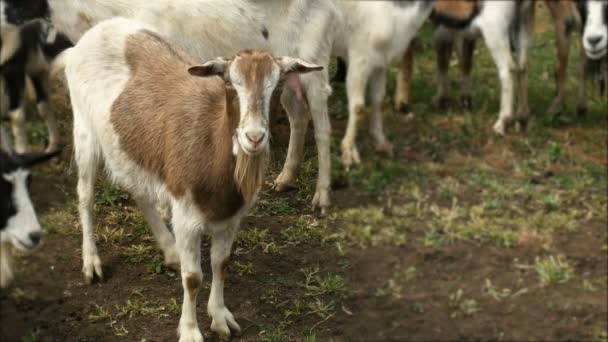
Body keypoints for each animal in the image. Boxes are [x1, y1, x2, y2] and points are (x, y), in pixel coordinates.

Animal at [2, 0, 340, 210]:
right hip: (289, 73)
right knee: (298, 115)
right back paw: (285, 177)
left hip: (315, 62)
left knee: (323, 127)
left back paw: (322, 195)